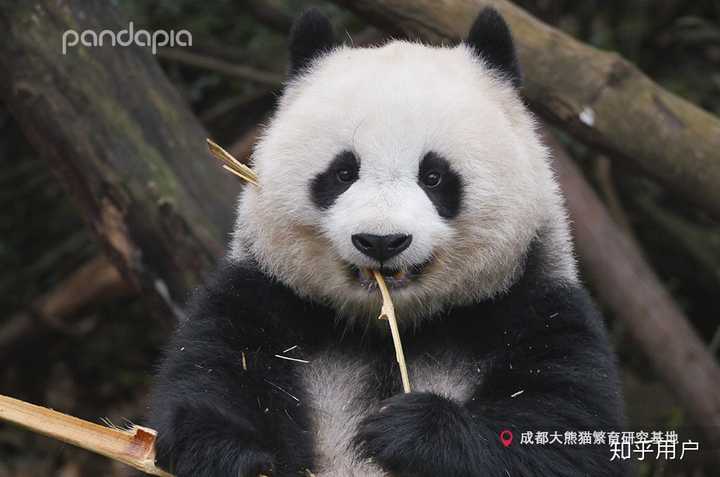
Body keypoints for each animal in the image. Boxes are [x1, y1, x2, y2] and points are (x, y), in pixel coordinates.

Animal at [149, 7, 628, 476]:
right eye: (343, 172)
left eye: (434, 177)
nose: (381, 241)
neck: (389, 327)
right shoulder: (266, 295)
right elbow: (215, 374)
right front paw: (230, 454)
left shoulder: (533, 306)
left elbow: (565, 429)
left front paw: (409, 429)